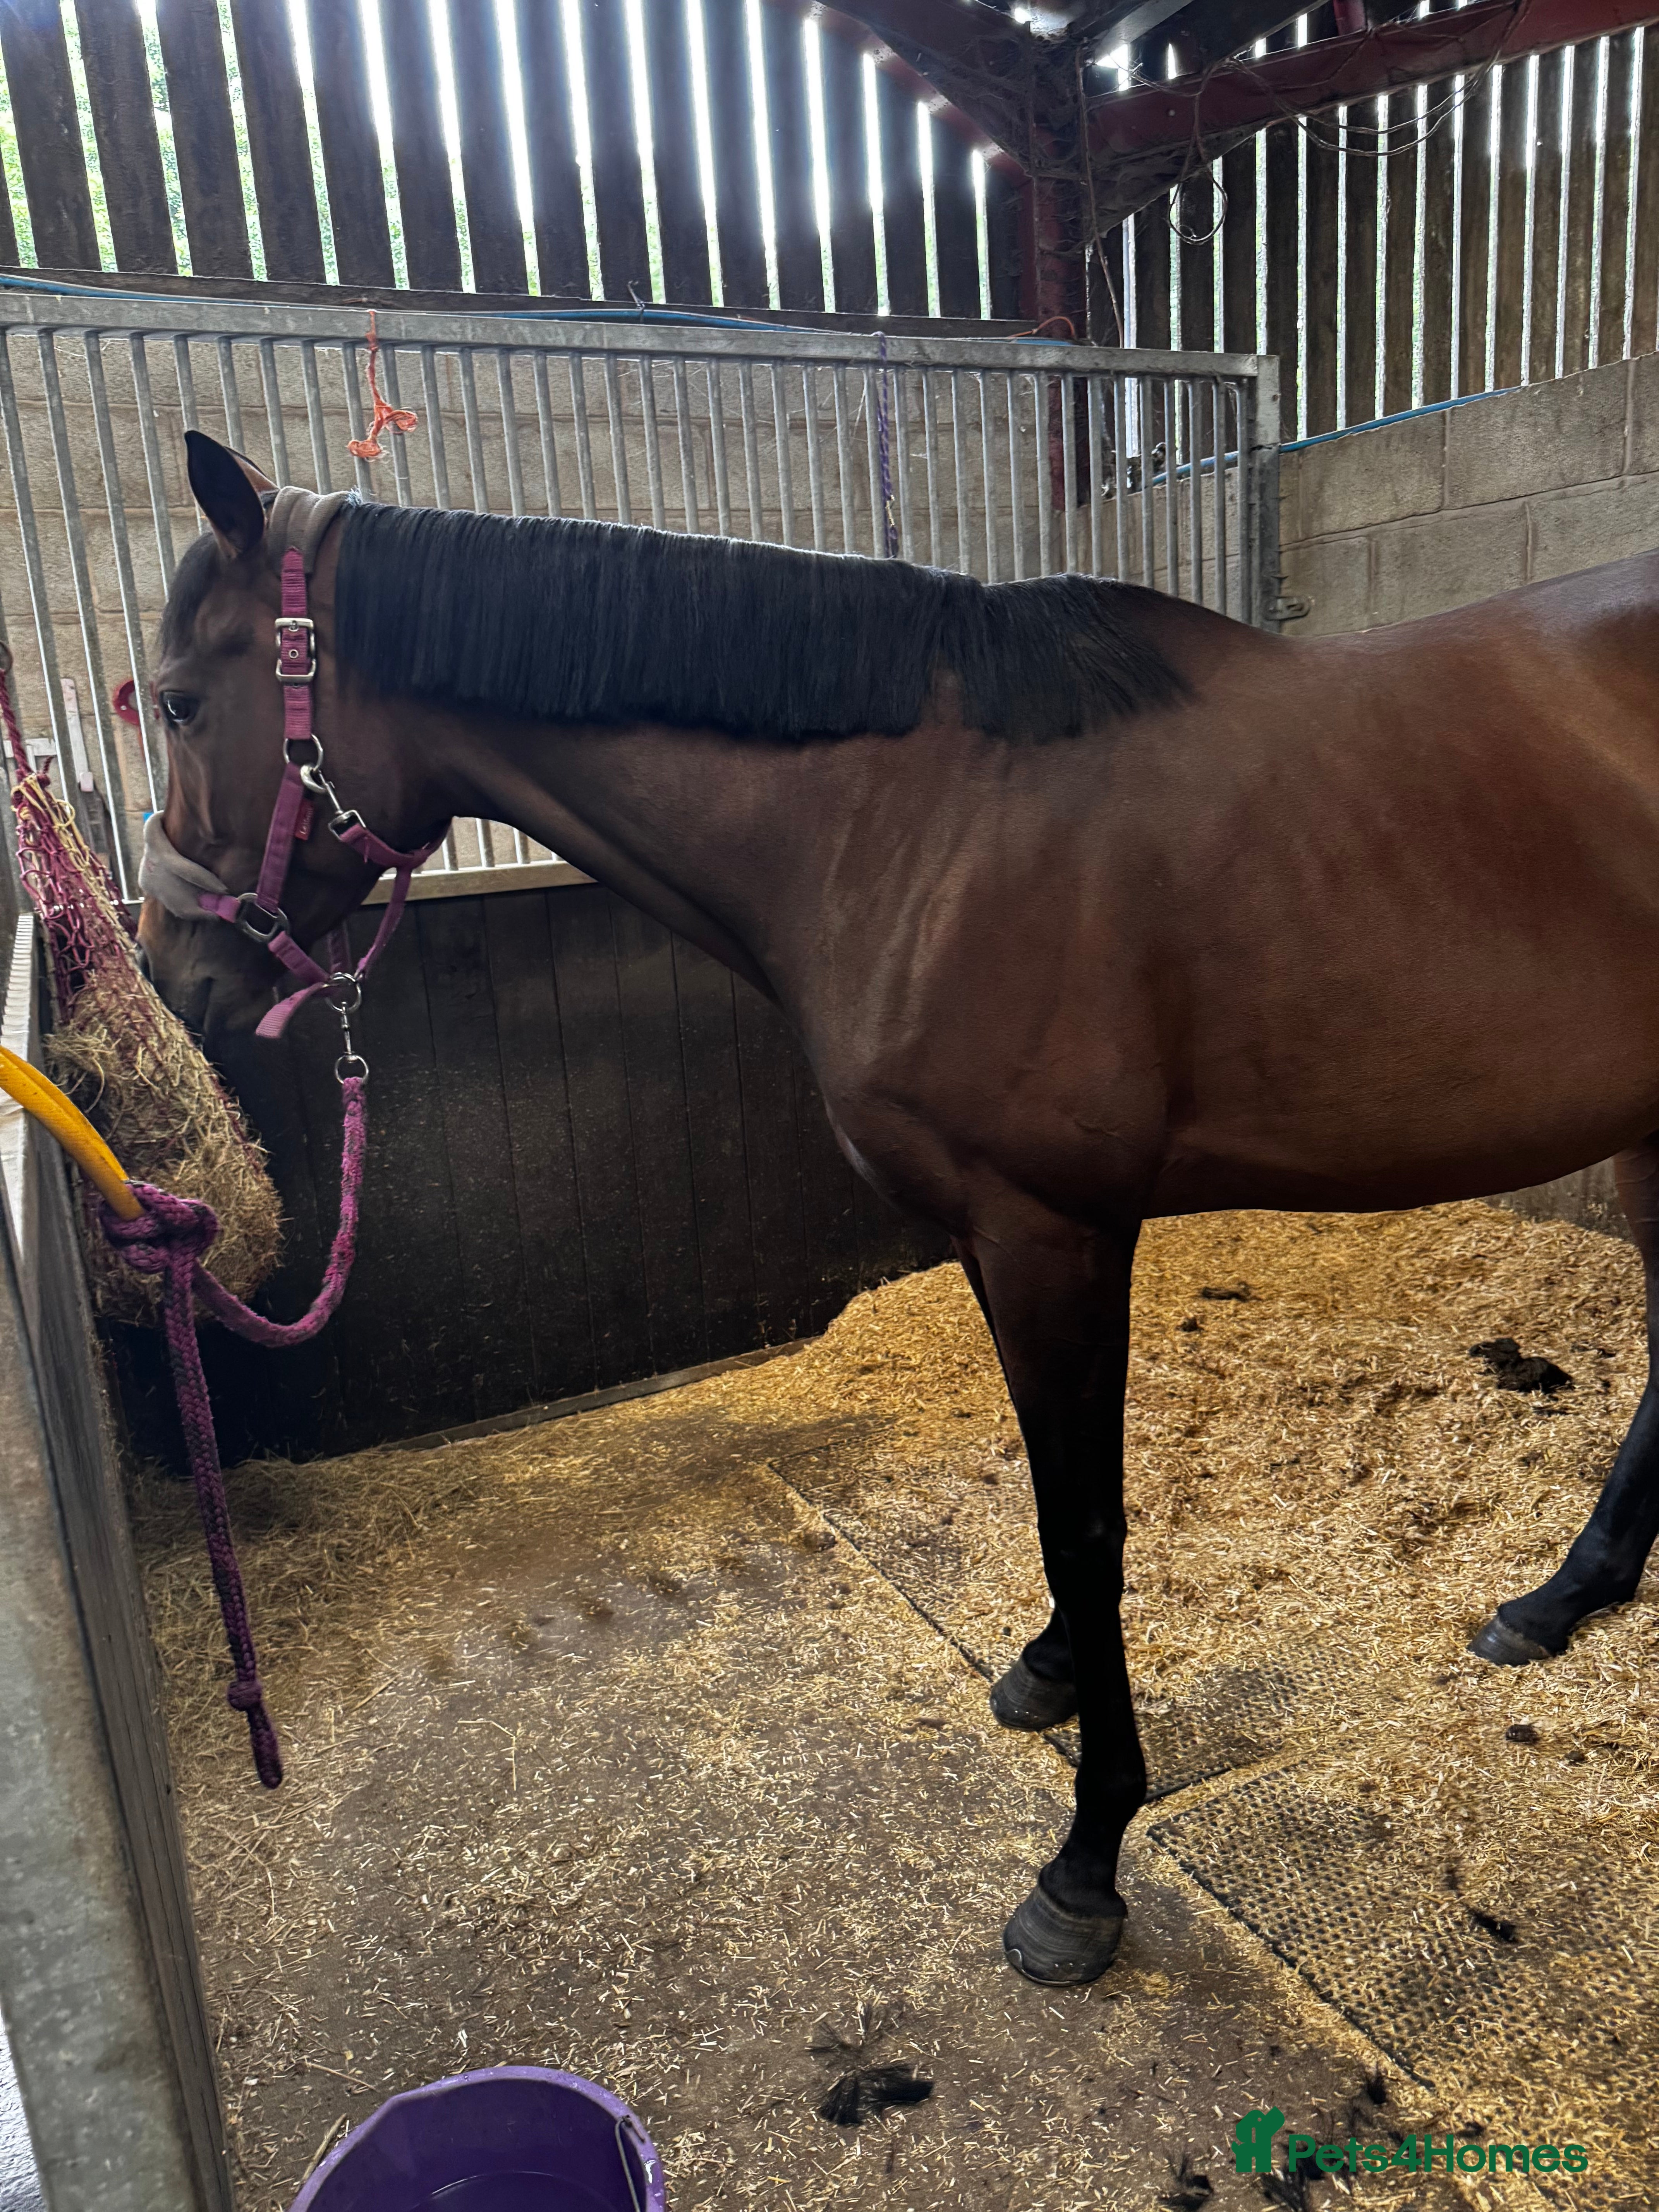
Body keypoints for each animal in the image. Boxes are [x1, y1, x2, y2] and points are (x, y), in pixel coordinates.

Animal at [139, 428, 1659, 1987]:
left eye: (181, 700)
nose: (174, 976)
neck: (915, 825)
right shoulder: (992, 1235)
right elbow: (1062, 1512)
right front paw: (1051, 1671)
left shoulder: (1050, 1230)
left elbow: (1085, 1521)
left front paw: (1084, 1865)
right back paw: (1554, 1601)